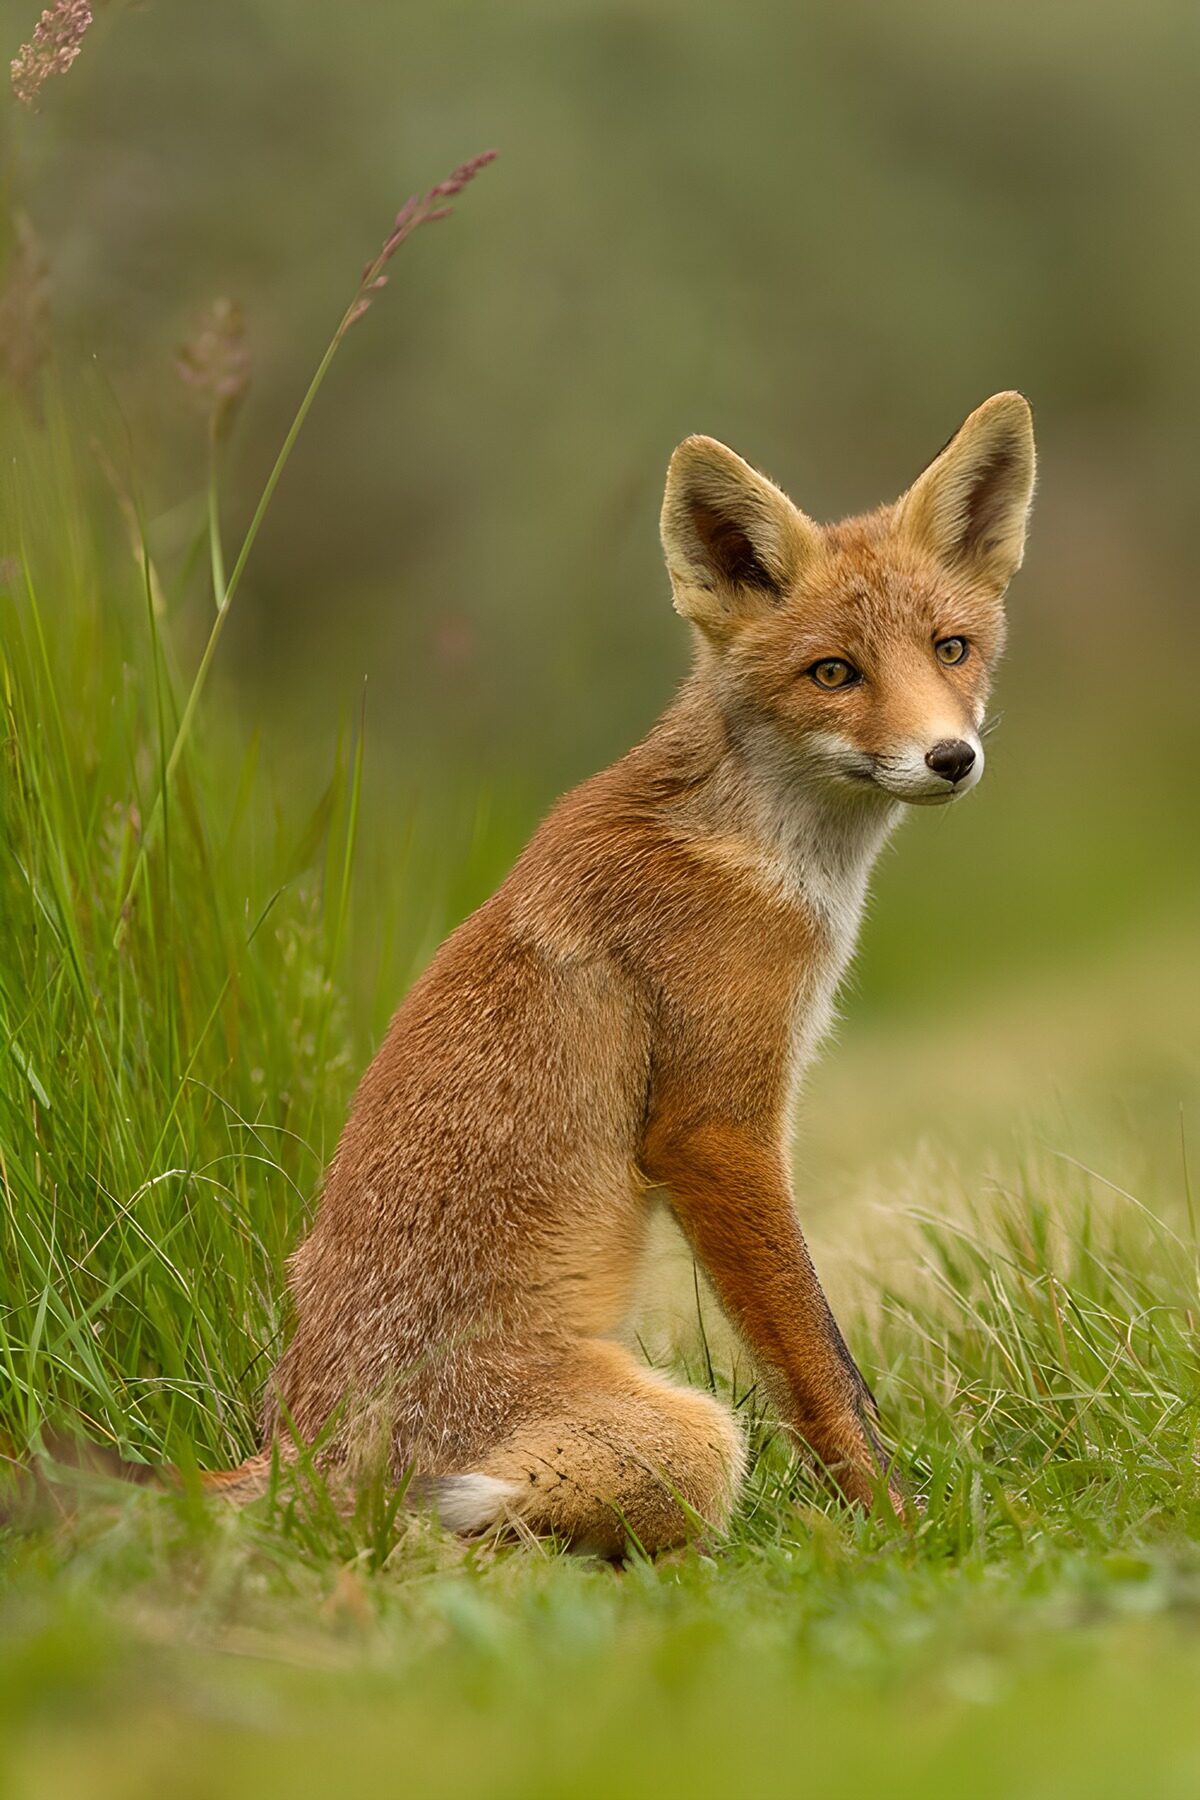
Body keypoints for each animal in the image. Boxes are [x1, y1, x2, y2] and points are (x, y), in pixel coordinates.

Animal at [210, 391, 1036, 1553]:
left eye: (951, 649)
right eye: (834, 673)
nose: (949, 758)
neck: (762, 856)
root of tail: (295, 1447)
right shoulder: (712, 1127)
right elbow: (822, 1367)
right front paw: (892, 1522)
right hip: (688, 1431)